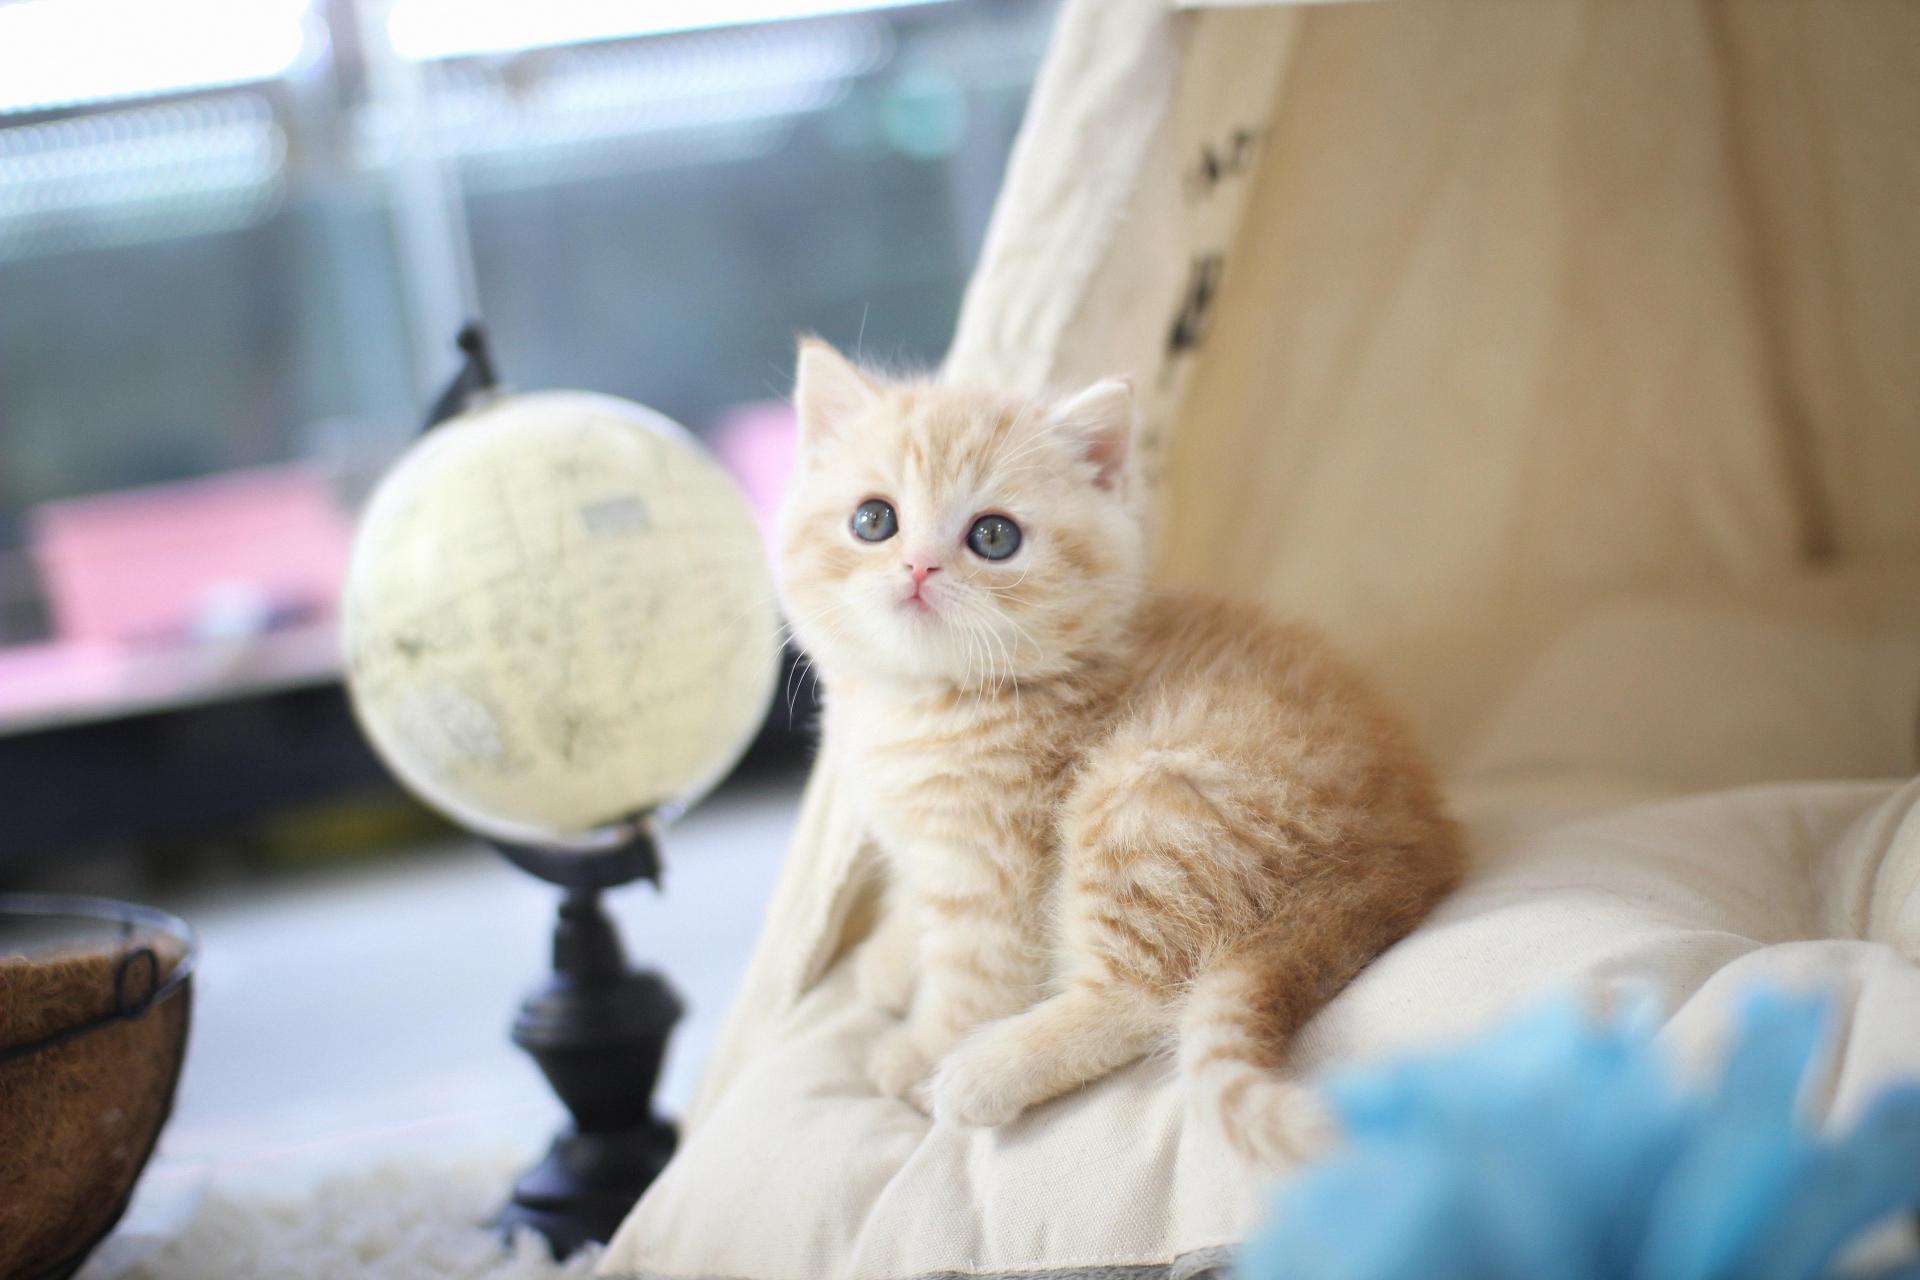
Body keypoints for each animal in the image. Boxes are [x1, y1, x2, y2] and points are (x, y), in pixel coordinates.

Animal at [776, 337, 1464, 1163]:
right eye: (874, 520)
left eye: (994, 537)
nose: (918, 568)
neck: (923, 703)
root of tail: (1399, 861)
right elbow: (919, 897)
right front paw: (890, 956)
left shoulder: (995, 862)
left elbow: (975, 970)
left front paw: (924, 1045)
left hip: (1147, 799)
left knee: (1145, 999)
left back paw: (984, 1071)